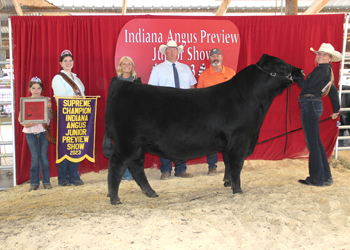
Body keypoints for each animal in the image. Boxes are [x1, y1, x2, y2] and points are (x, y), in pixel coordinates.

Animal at [103, 54, 304, 205]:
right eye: (282, 66)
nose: (301, 71)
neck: (251, 99)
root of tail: (125, 85)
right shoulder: (241, 140)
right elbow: (237, 165)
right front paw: (238, 190)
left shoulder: (230, 144)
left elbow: (228, 164)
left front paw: (227, 183)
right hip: (127, 142)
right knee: (117, 165)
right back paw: (115, 198)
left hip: (138, 145)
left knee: (136, 166)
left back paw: (150, 192)